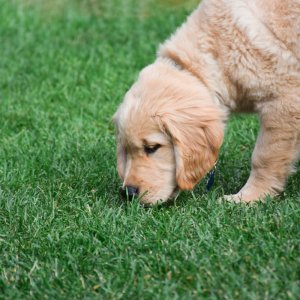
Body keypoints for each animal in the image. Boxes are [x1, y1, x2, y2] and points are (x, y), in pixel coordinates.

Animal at [113, 0, 300, 204]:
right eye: (126, 150)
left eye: (152, 148)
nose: (128, 193)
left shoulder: (283, 100)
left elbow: (264, 157)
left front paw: (249, 197)